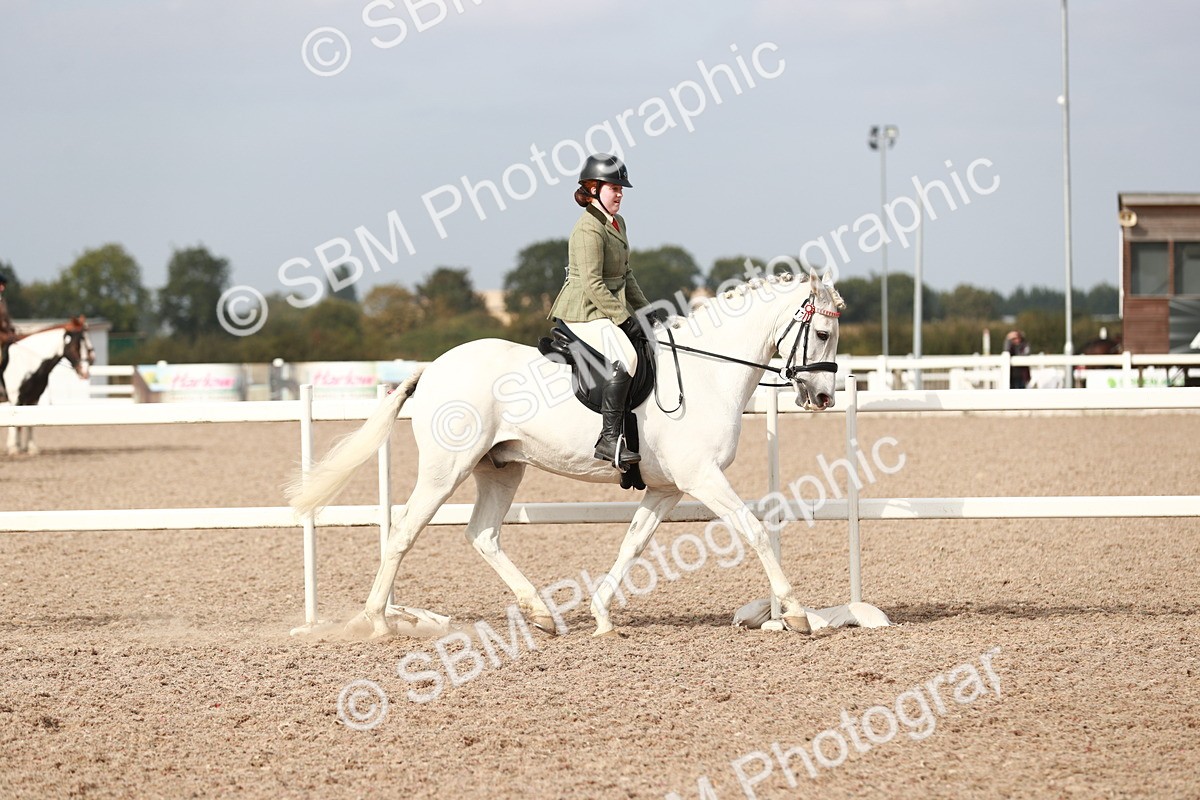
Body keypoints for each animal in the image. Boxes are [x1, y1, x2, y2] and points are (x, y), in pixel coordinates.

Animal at [2, 316, 94, 455]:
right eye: (76, 345)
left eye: (87, 345)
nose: (85, 372)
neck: (27, 361)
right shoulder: (15, 398)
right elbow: (16, 425)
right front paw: (14, 448)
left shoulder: (33, 398)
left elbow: (29, 423)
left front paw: (31, 448)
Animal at [288, 271, 844, 638]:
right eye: (821, 333)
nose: (822, 397)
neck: (706, 373)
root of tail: (433, 367)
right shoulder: (702, 478)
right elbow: (754, 531)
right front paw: (796, 614)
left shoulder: (666, 488)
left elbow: (632, 544)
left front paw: (600, 616)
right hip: (445, 469)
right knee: (404, 532)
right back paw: (378, 622)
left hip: (500, 469)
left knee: (483, 535)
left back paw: (539, 613)